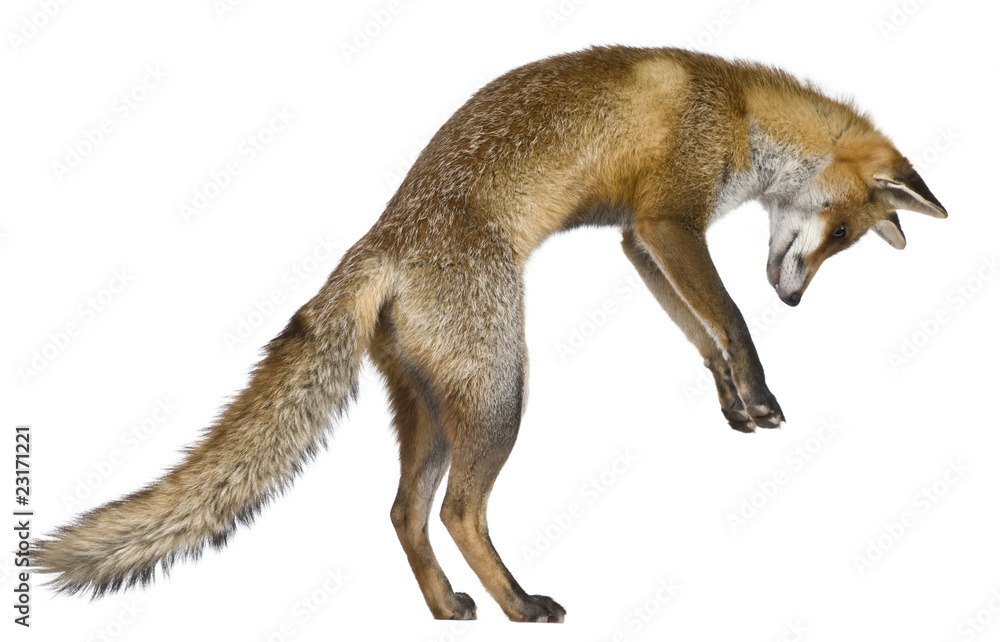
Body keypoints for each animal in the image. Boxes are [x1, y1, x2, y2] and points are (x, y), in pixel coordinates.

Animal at [35, 46, 946, 623]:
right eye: (837, 234)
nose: (795, 302)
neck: (737, 107)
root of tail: (379, 244)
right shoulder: (667, 219)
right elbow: (729, 317)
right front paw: (759, 384)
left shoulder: (636, 239)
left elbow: (699, 332)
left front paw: (735, 399)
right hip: (503, 389)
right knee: (459, 511)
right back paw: (519, 604)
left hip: (435, 406)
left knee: (404, 511)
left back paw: (447, 607)